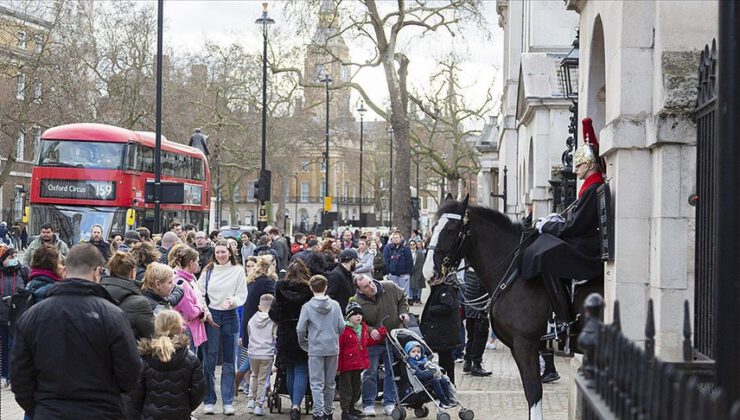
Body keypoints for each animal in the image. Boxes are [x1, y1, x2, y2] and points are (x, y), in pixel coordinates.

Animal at [424, 197, 604, 420]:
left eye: (451, 229)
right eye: (433, 227)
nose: (428, 272)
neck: (512, 274)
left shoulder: (525, 344)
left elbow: (533, 391)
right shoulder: (517, 347)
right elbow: (530, 392)